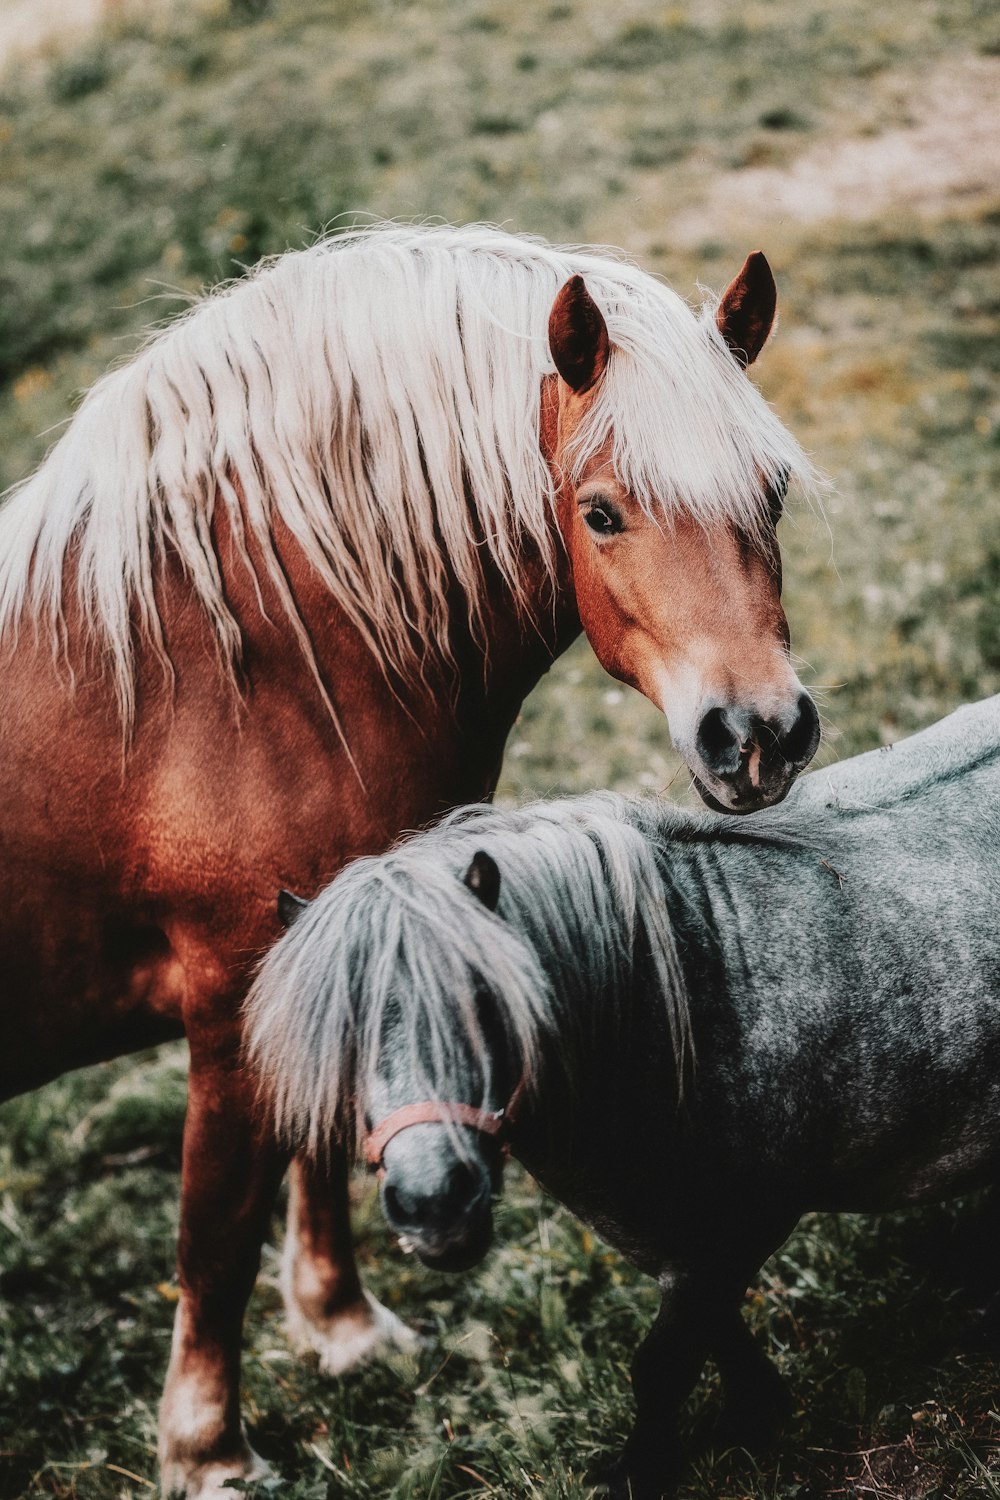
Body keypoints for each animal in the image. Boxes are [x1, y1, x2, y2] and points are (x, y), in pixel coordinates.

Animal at [0, 217, 821, 1494]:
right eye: (601, 513)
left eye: (770, 490)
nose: (761, 737)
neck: (246, 661)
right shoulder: (227, 1000)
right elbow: (214, 1233)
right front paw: (208, 1448)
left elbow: (321, 1142)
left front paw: (340, 1328)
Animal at [248, 696, 1000, 1494]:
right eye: (340, 1030)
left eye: (487, 1000)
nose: (433, 1206)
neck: (690, 994)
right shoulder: (675, 1241)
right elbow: (712, 1334)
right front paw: (755, 1412)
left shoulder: (740, 1228)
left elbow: (662, 1365)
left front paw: (646, 1466)